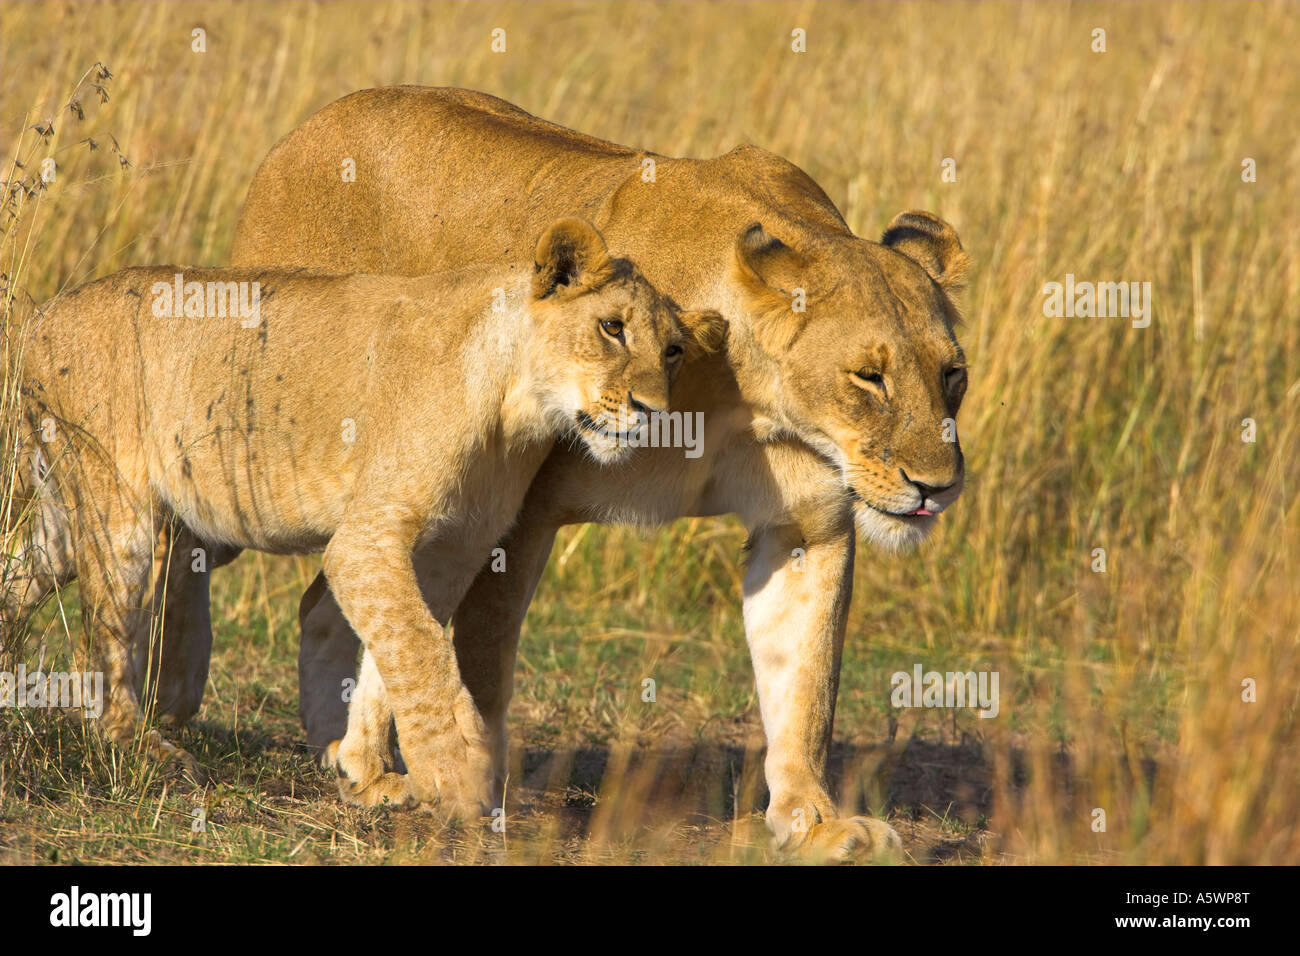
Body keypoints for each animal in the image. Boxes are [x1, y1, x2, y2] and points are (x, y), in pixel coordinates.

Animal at [5, 218, 723, 814]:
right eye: (612, 328)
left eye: (673, 351)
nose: (654, 411)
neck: (516, 406)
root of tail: (43, 315)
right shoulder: (367, 538)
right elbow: (422, 656)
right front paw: (462, 775)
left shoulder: (447, 548)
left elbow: (394, 656)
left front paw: (369, 771)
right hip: (118, 511)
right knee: (108, 641)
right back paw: (141, 746)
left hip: (64, 512)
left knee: (20, 573)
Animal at [169, 87, 972, 860]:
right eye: (869, 377)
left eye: (952, 374)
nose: (937, 487)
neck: (751, 400)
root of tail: (303, 131)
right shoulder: (517, 508)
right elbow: (483, 665)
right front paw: (484, 800)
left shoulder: (806, 525)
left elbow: (805, 685)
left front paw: (816, 824)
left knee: (334, 603)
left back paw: (359, 765)